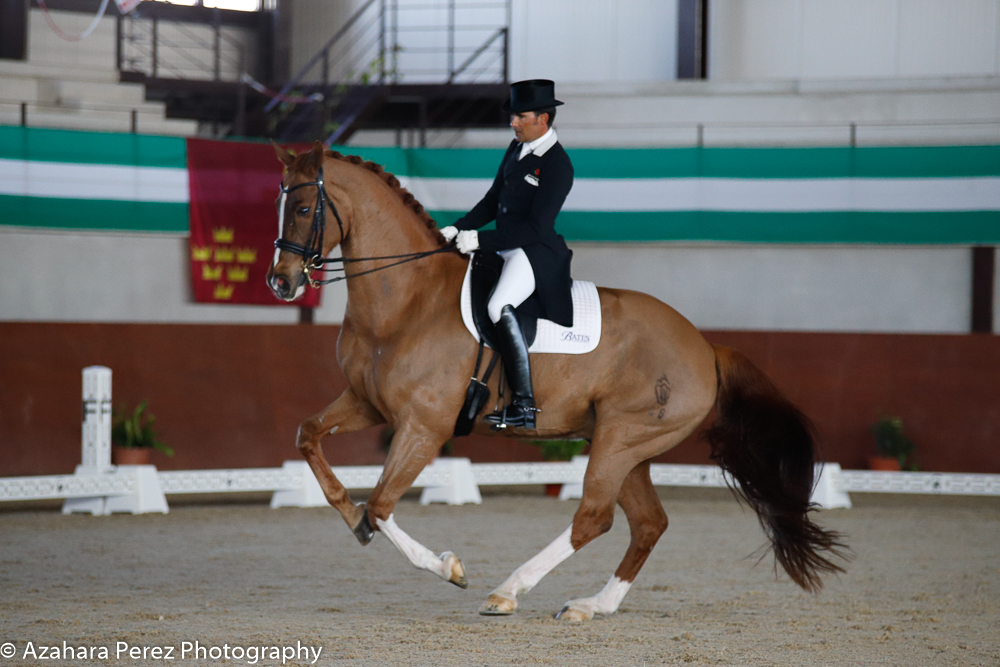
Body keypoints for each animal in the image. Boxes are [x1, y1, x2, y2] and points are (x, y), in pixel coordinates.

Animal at [266, 142, 844, 620]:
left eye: (304, 208)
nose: (281, 282)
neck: (406, 300)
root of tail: (705, 347)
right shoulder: (368, 404)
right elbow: (307, 436)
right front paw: (352, 518)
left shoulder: (424, 425)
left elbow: (384, 503)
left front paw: (448, 567)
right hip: (624, 446)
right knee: (647, 523)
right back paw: (593, 606)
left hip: (620, 438)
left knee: (594, 516)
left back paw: (507, 592)